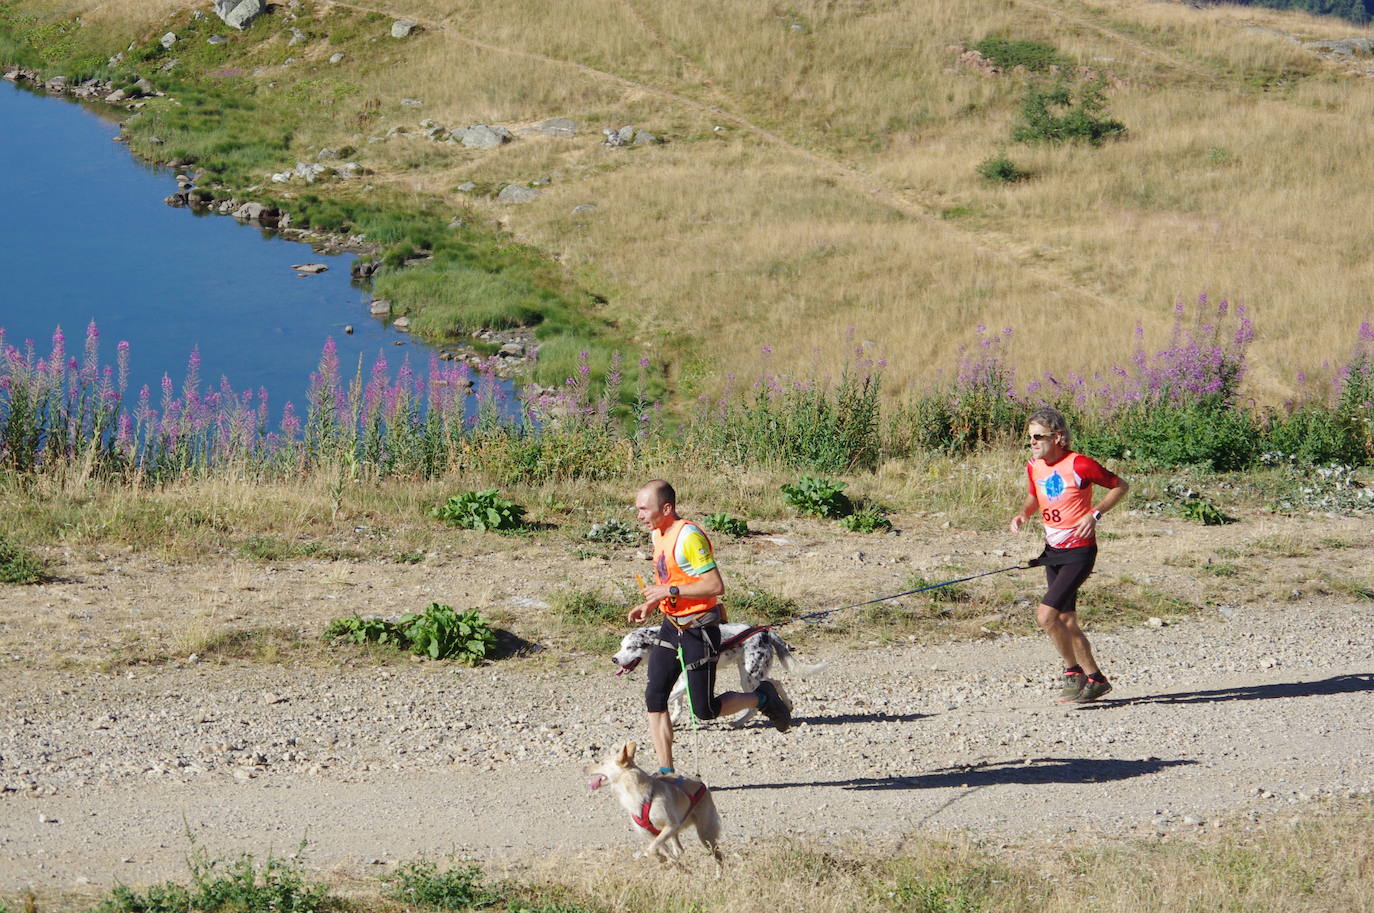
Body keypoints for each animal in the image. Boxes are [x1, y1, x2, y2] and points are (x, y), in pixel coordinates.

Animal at [585, 742, 725, 869]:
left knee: (718, 855)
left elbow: (652, 849)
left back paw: (719, 875)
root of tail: (702, 785)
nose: (584, 768)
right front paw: (665, 860)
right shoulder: (650, 834)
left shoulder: (670, 826)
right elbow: (657, 849)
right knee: (679, 850)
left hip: (705, 834)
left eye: (601, 763)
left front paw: (660, 858)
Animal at [615, 621, 824, 726]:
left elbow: (669, 698)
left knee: (758, 699)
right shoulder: (679, 680)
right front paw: (673, 720)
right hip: (751, 675)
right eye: (621, 646)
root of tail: (765, 632)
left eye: (631, 647)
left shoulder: (686, 681)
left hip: (750, 677)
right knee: (775, 682)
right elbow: (677, 704)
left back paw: (739, 722)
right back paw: (787, 705)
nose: (614, 659)